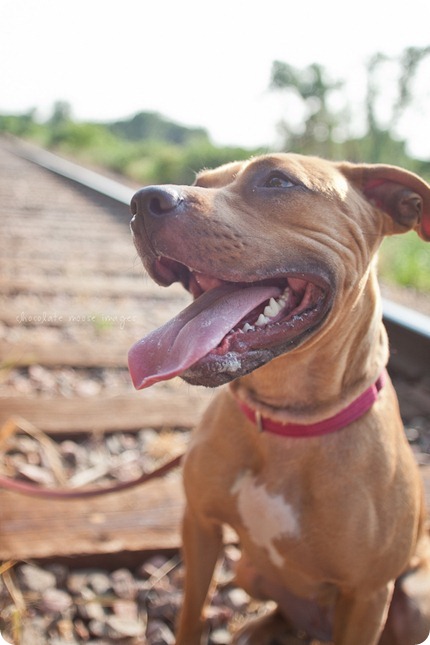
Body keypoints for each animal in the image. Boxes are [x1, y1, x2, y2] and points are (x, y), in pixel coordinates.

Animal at [127, 156, 430, 644]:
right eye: (202, 182)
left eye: (277, 181)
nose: (141, 201)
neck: (286, 421)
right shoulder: (200, 526)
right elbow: (191, 612)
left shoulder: (369, 594)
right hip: (248, 570)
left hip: (415, 601)